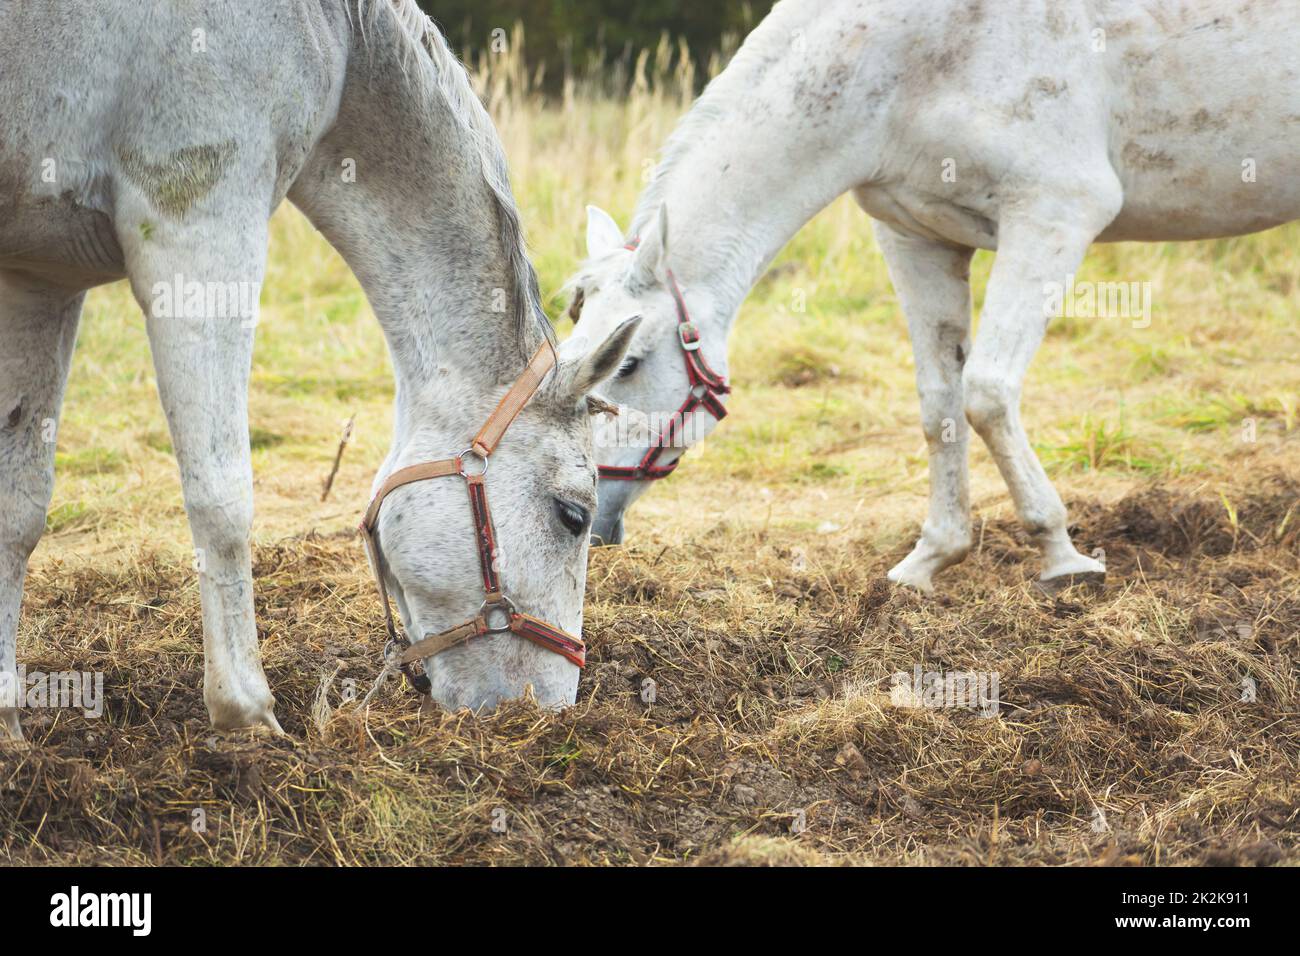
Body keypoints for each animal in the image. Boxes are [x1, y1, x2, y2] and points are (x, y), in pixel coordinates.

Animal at [0, 0, 638, 741]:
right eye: (573, 515)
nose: (546, 709)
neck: (333, 30)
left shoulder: (40, 278)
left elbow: (18, 510)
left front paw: (9, 725)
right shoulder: (199, 225)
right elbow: (222, 499)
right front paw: (247, 715)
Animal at [565, 0, 1300, 591]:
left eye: (630, 364)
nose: (590, 517)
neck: (905, 61)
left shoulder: (1054, 215)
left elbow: (987, 394)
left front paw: (1061, 555)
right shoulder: (916, 238)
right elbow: (940, 403)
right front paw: (931, 559)